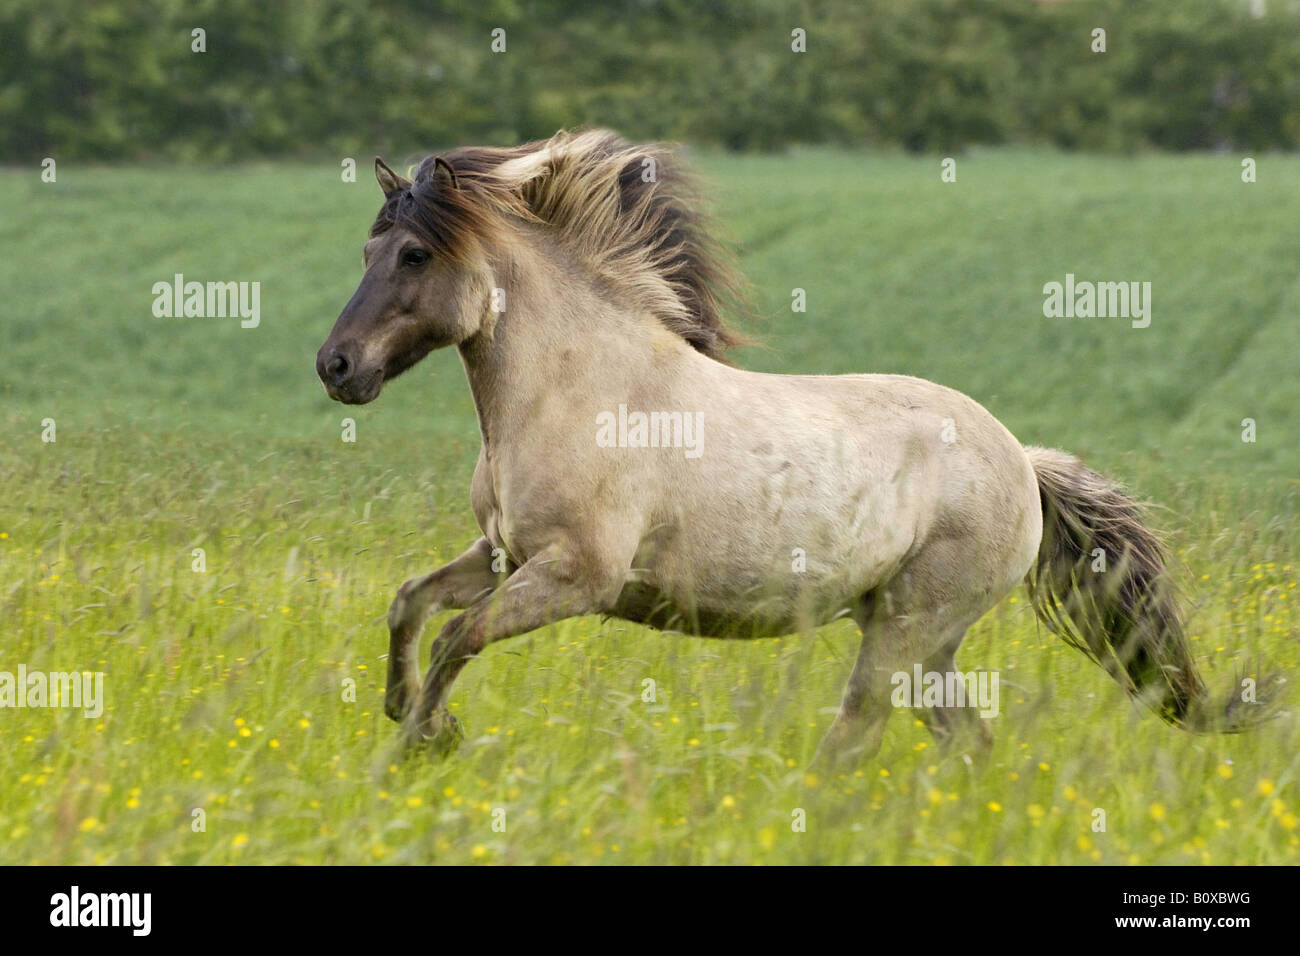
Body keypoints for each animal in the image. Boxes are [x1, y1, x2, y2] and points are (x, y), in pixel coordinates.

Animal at [314, 128, 1216, 770]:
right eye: (365, 251)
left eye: (415, 253)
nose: (337, 366)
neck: (579, 390)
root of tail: (1025, 463)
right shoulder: (500, 552)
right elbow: (410, 603)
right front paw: (408, 717)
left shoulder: (577, 575)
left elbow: (456, 640)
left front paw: (423, 741)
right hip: (927, 641)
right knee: (966, 743)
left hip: (910, 625)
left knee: (857, 733)